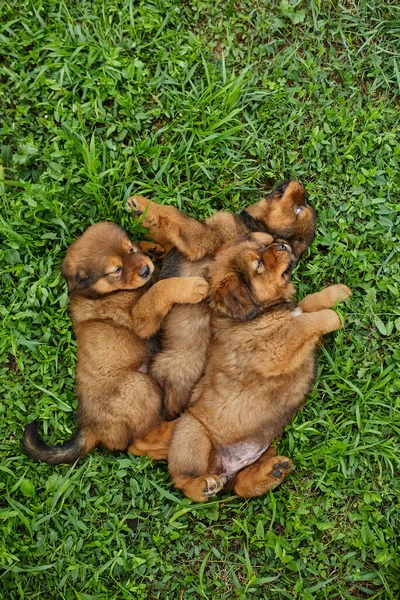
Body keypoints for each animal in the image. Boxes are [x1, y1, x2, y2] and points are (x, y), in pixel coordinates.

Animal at [21, 220, 209, 464]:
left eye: (130, 249)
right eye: (116, 270)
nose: (145, 270)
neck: (106, 292)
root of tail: (90, 427)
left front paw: (152, 248)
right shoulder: (140, 319)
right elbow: (159, 289)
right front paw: (191, 286)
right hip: (139, 388)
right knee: (138, 444)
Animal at [126, 180, 318, 420]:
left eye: (299, 208)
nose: (301, 184)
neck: (257, 226)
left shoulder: (202, 237)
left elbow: (176, 216)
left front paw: (142, 205)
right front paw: (152, 245)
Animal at [165, 234, 350, 502]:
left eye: (264, 246)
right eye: (258, 265)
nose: (282, 244)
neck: (261, 312)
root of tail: (225, 469)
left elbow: (308, 303)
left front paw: (337, 292)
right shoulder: (275, 346)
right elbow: (306, 321)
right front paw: (333, 317)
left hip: (265, 444)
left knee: (241, 486)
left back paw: (273, 471)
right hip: (191, 434)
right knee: (183, 481)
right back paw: (203, 486)